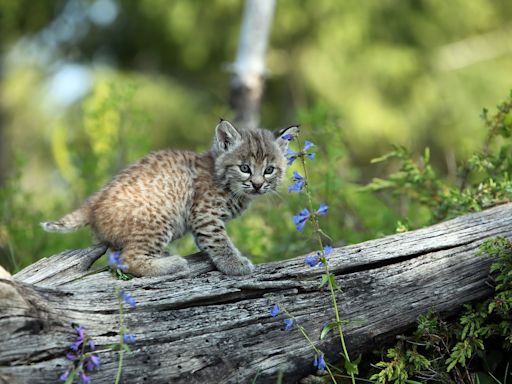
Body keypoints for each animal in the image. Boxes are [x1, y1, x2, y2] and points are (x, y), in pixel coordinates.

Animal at [42, 120, 298, 276]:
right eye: (244, 168)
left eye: (269, 170)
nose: (257, 185)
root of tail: (92, 202)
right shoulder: (205, 214)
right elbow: (219, 241)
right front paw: (234, 265)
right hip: (160, 215)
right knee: (127, 258)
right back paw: (172, 264)